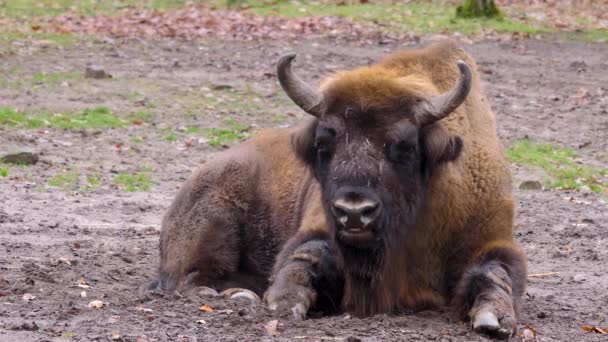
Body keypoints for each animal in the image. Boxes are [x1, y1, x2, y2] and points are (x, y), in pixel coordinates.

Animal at [148, 40, 528, 340]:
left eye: (405, 146)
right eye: (323, 143)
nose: (354, 212)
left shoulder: (493, 238)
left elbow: (495, 271)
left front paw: (493, 320)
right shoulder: (317, 227)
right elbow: (308, 253)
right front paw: (283, 301)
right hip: (216, 224)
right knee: (192, 277)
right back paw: (240, 295)